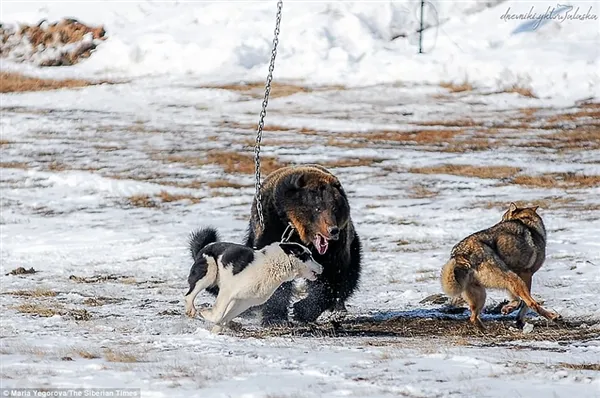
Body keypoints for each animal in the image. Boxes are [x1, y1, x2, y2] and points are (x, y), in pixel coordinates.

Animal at [184, 227, 324, 332]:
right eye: (308, 256)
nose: (322, 267)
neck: (272, 265)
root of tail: (203, 248)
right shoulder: (227, 292)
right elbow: (218, 314)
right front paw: (204, 314)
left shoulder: (243, 302)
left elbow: (223, 318)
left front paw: (216, 331)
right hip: (209, 272)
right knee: (189, 295)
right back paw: (191, 310)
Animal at [243, 163, 360, 324]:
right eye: (317, 208)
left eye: (335, 208)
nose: (332, 230)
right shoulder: (272, 226)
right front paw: (275, 316)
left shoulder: (335, 247)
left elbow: (332, 274)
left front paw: (301, 310)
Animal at [440, 202, 564, 330]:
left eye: (503, 217)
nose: (499, 222)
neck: (526, 221)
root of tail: (460, 253)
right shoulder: (526, 274)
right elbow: (525, 303)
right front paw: (518, 318)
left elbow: (516, 300)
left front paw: (509, 309)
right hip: (512, 279)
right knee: (532, 303)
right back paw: (554, 316)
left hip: (481, 293)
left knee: (473, 317)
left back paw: (485, 330)